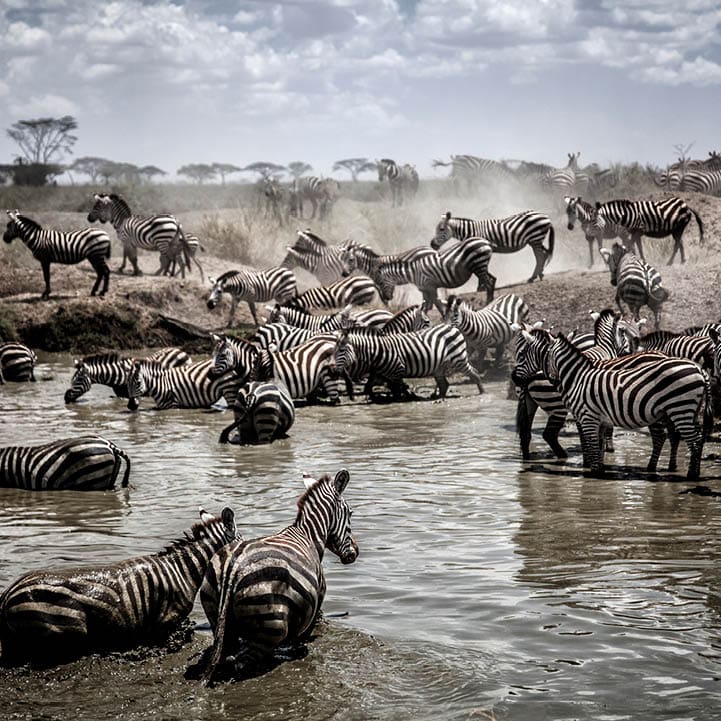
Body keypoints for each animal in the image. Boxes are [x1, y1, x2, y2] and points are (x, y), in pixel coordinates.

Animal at [192, 470, 357, 684]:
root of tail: (233, 567)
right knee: (241, 663)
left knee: (227, 653)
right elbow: (302, 636)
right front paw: (298, 651)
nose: (355, 553)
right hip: (271, 624)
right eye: (350, 513)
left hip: (217, 615)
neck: (310, 535)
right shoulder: (315, 602)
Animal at [332, 323, 485, 401]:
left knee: (475, 373)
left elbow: (398, 389)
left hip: (459, 359)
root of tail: (451, 327)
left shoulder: (397, 371)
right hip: (439, 368)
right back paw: (439, 398)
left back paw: (482, 393)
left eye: (341, 350)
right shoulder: (380, 374)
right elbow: (369, 387)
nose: (332, 369)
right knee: (444, 385)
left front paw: (404, 398)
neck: (378, 351)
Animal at [511, 327, 709, 480]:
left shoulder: (588, 416)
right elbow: (595, 444)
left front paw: (594, 471)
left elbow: (592, 443)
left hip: (678, 408)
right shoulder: (595, 417)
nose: (513, 378)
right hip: (681, 410)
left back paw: (689, 474)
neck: (577, 376)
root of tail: (698, 368)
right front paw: (597, 466)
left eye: (521, 354)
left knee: (689, 439)